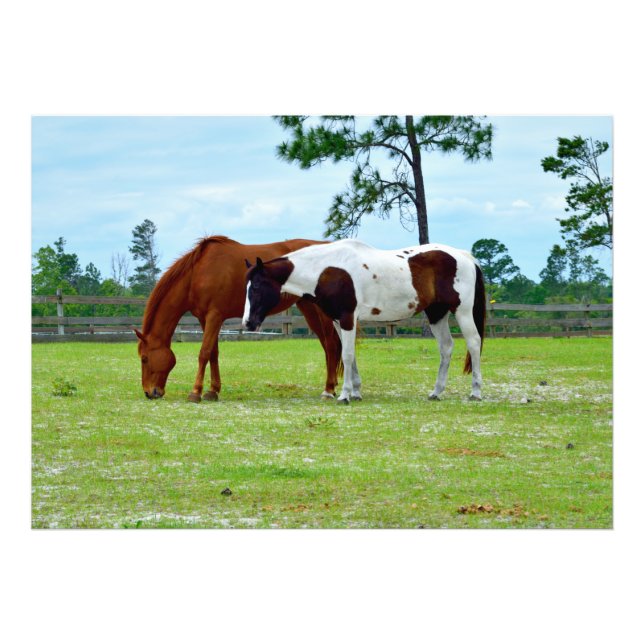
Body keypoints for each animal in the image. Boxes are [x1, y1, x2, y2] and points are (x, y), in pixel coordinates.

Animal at [134, 236, 342, 402]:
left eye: (144, 358)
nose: (149, 392)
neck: (198, 274)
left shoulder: (214, 316)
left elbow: (204, 353)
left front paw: (195, 392)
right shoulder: (205, 319)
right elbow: (213, 353)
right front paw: (213, 391)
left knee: (331, 345)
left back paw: (329, 389)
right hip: (308, 308)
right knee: (327, 346)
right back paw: (332, 386)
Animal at [243, 239, 486, 403]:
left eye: (256, 287)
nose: (248, 323)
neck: (327, 269)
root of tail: (465, 256)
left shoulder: (348, 318)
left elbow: (348, 355)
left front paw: (344, 395)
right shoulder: (339, 321)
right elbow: (348, 355)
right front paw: (356, 392)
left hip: (462, 311)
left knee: (474, 343)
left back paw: (476, 392)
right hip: (436, 313)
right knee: (446, 347)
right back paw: (436, 392)